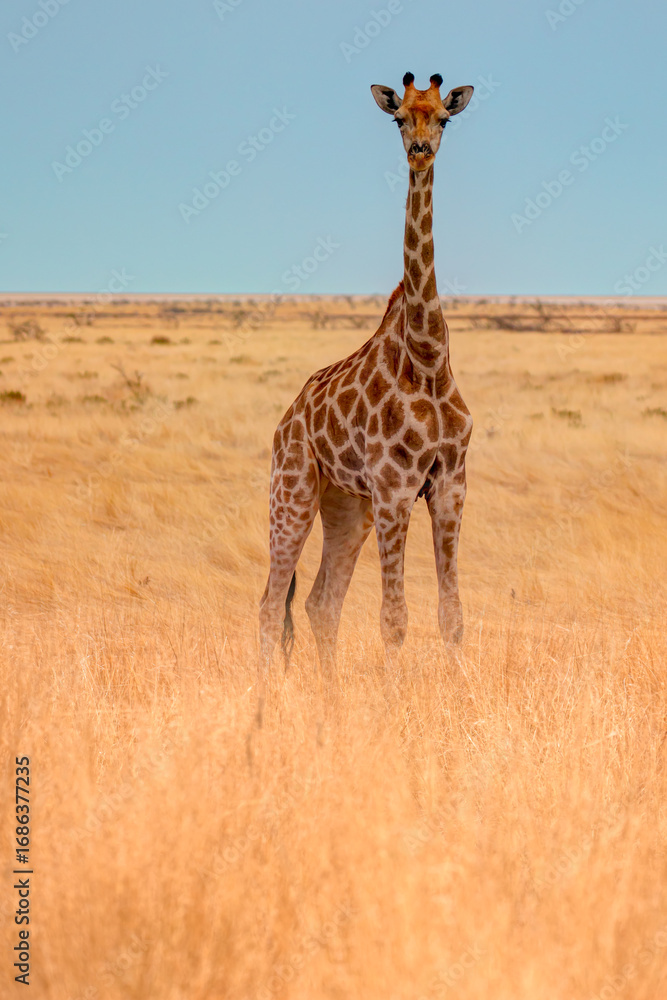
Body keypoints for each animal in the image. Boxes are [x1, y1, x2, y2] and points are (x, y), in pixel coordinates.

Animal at [259, 72, 475, 673]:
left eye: (444, 119)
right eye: (398, 118)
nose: (420, 150)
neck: (428, 358)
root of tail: (286, 420)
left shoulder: (450, 485)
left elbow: (451, 617)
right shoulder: (394, 488)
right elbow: (394, 620)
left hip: (346, 506)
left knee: (319, 603)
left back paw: (327, 696)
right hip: (293, 491)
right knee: (270, 605)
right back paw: (265, 694)